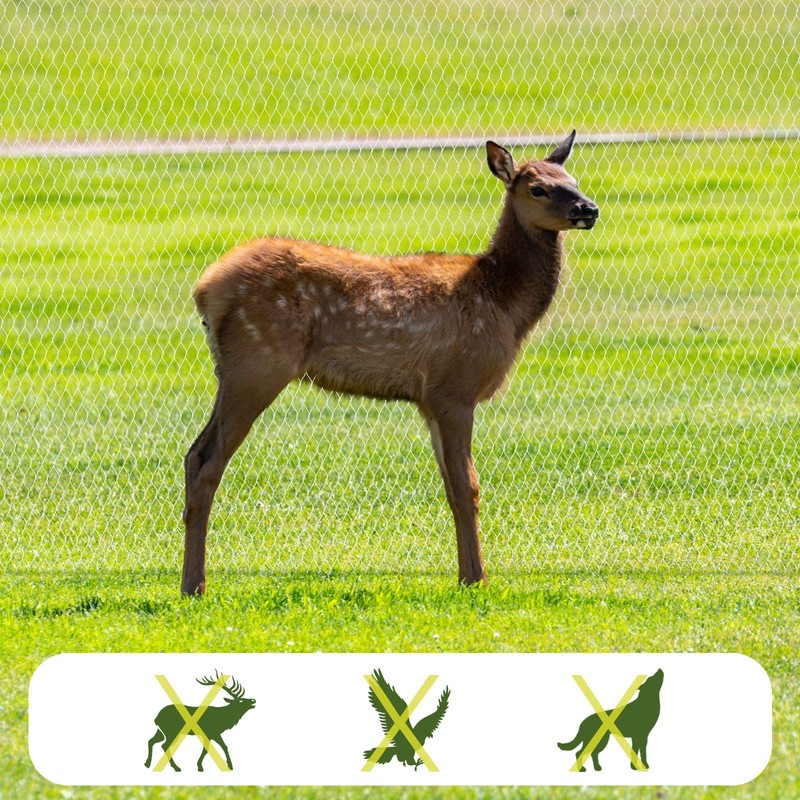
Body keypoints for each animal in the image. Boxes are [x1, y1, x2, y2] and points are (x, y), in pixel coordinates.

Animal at [181, 131, 599, 596]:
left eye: (573, 179)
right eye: (537, 188)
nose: (589, 209)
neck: (502, 304)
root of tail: (206, 289)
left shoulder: (429, 399)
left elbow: (451, 488)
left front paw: (464, 575)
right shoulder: (454, 387)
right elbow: (467, 487)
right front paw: (476, 579)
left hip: (236, 369)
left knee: (193, 455)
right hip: (257, 363)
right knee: (207, 461)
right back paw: (195, 586)